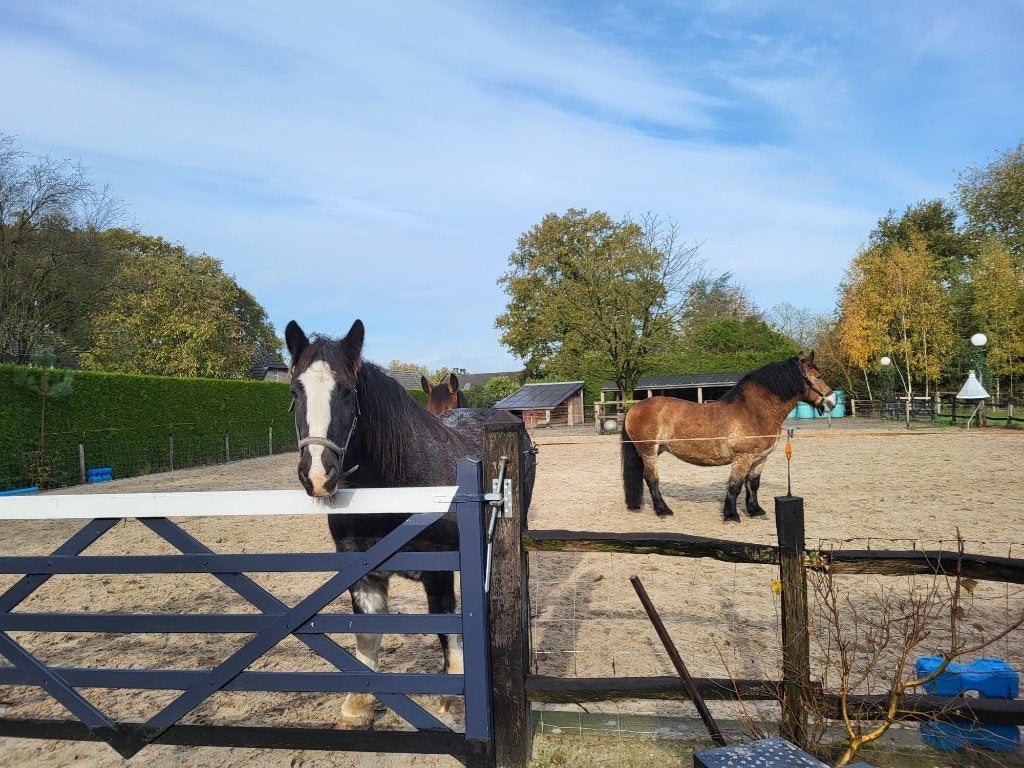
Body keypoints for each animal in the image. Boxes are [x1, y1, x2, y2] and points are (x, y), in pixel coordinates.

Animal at [285, 318, 534, 728]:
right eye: (295, 391)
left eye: (348, 392)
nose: (318, 476)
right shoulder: (363, 573)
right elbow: (368, 636)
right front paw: (357, 707)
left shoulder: (440, 572)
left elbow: (447, 629)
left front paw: (454, 697)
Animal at [621, 352, 836, 523]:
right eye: (818, 376)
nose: (833, 402)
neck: (754, 411)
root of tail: (635, 407)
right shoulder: (743, 457)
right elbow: (735, 486)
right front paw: (732, 515)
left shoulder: (760, 458)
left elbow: (753, 484)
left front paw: (755, 511)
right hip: (648, 451)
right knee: (652, 479)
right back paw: (663, 510)